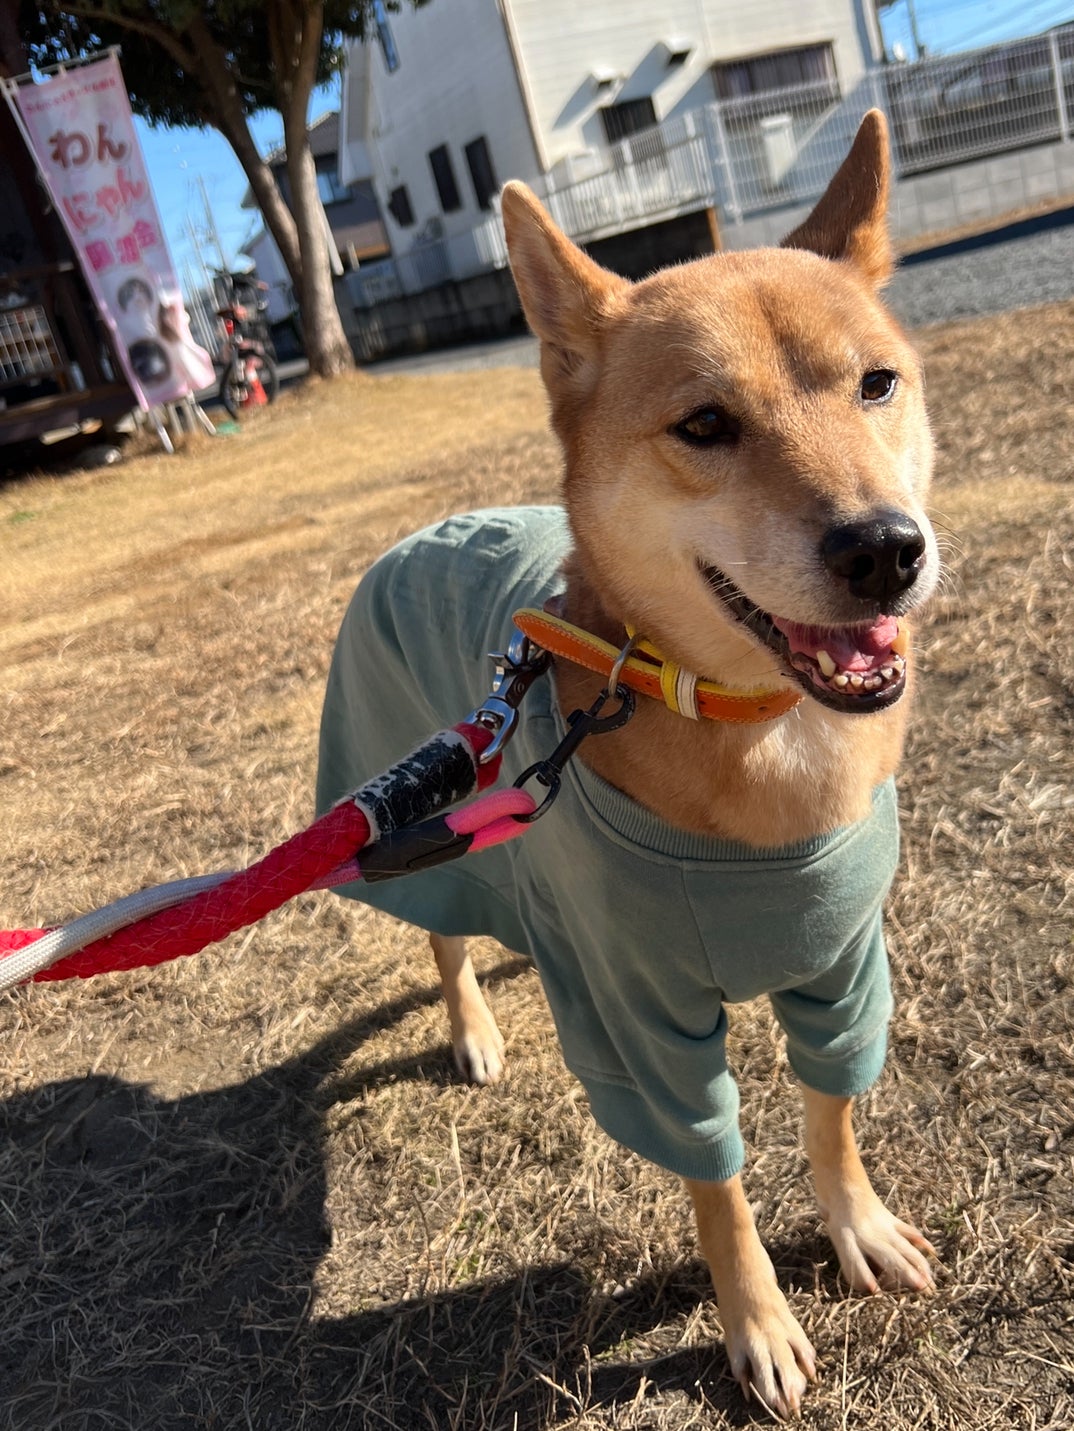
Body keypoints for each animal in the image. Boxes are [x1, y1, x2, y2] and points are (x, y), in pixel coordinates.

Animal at [317, 111, 939, 1418]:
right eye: (704, 426)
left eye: (877, 383)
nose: (885, 549)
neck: (759, 733)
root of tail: (417, 532)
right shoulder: (644, 1025)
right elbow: (716, 1179)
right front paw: (757, 1321)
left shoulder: (843, 963)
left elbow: (833, 1111)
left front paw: (857, 1228)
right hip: (424, 821)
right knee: (446, 941)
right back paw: (474, 1028)